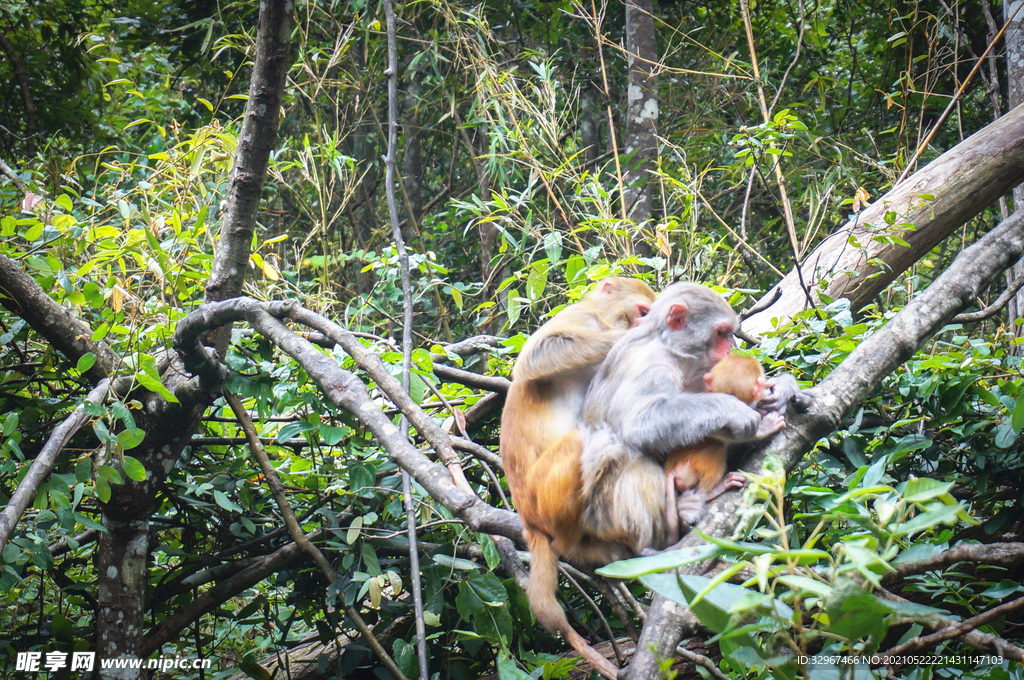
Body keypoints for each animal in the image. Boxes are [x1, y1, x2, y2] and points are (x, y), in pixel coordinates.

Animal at [497, 274, 655, 675]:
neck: (602, 318)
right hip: (543, 492)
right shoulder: (579, 321)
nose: (643, 323)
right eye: (643, 311)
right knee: (587, 438)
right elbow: (537, 355)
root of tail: (527, 517)